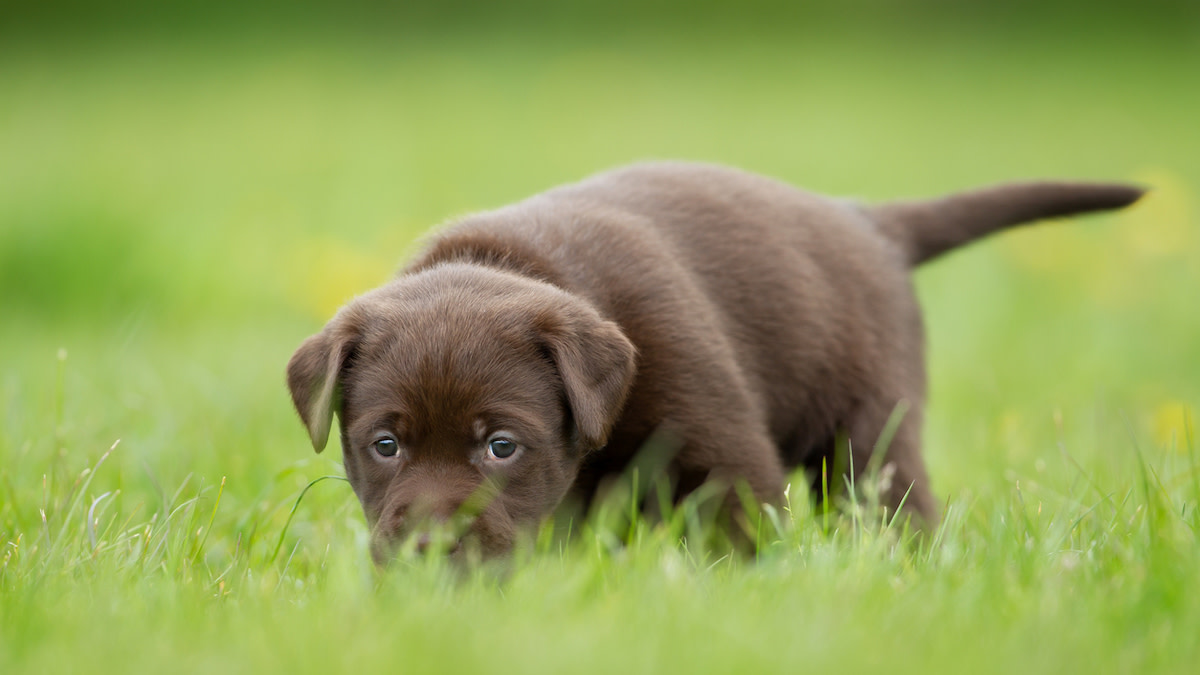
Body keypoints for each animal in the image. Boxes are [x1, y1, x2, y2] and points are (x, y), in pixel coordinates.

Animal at [285, 163, 1137, 557]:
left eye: (501, 445)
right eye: (384, 444)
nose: (427, 553)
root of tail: (867, 222)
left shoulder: (721, 447)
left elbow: (742, 528)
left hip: (871, 430)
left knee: (894, 500)